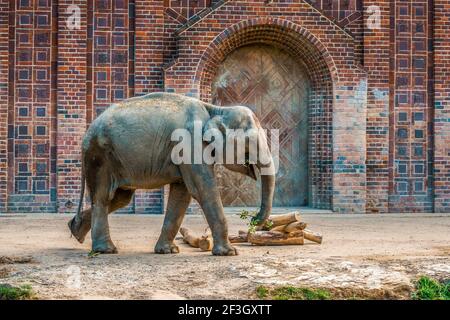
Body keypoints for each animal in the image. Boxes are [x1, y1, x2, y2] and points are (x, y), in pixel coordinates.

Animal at [68, 92, 276, 255]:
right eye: (250, 142)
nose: (253, 219)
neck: (216, 110)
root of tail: (87, 133)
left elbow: (182, 195)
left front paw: (168, 251)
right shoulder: (191, 144)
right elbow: (203, 189)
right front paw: (230, 252)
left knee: (121, 198)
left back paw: (75, 230)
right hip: (99, 157)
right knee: (103, 197)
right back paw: (105, 250)